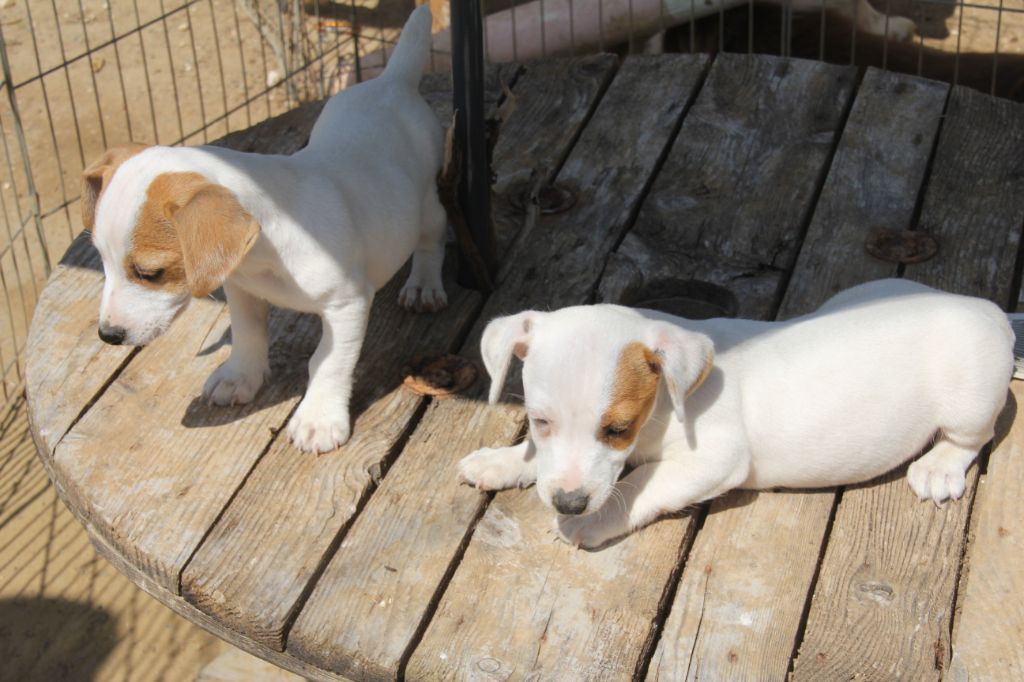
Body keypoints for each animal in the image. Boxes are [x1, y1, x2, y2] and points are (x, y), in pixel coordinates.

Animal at [82, 7, 444, 450]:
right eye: (101, 261)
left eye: (150, 273)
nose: (108, 336)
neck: (265, 255)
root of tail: (391, 81)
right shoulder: (241, 289)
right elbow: (248, 335)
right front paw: (239, 377)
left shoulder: (349, 304)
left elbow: (328, 361)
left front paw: (319, 418)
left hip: (426, 203)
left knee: (432, 238)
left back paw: (423, 284)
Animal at [458, 278, 1015, 548]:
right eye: (539, 421)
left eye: (617, 428)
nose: (570, 504)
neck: (667, 405)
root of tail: (986, 307)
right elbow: (541, 458)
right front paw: (502, 461)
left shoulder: (715, 458)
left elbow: (638, 485)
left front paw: (590, 522)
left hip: (969, 392)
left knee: (971, 437)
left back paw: (939, 467)